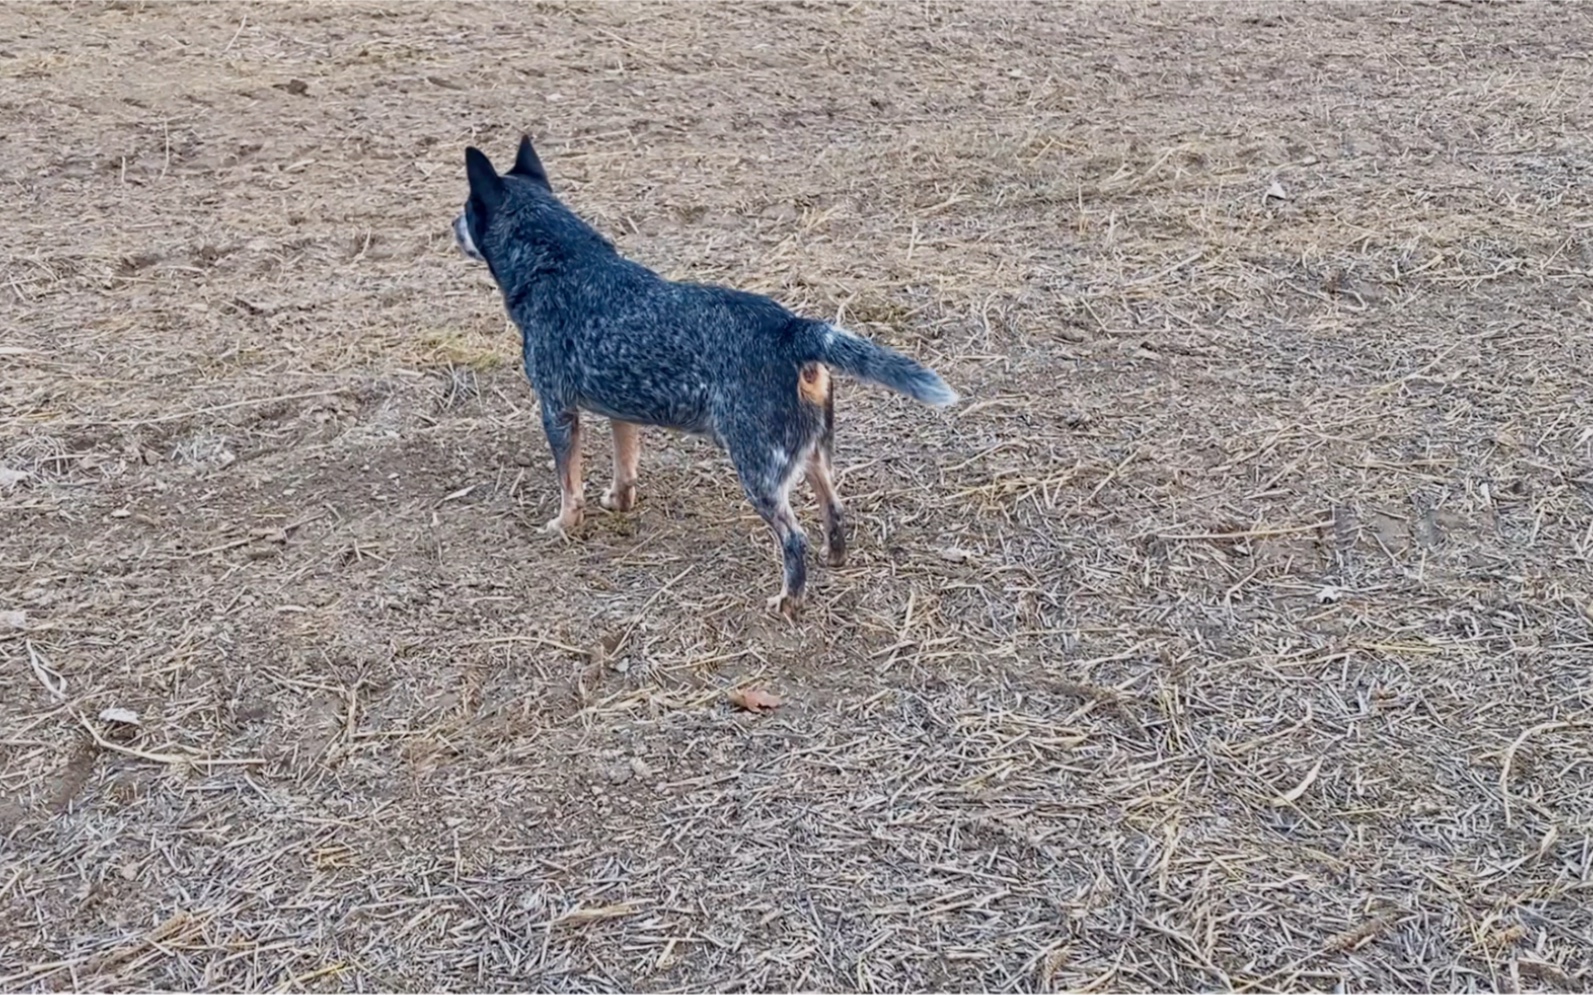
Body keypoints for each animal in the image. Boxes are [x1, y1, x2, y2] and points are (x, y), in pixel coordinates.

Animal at [452, 136, 955, 617]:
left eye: (466, 208)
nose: (451, 227)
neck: (558, 262)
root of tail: (793, 329)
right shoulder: (622, 410)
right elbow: (625, 467)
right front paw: (619, 501)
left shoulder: (556, 410)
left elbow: (568, 487)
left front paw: (563, 525)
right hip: (813, 454)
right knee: (835, 509)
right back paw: (835, 558)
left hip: (758, 471)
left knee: (794, 539)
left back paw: (789, 601)